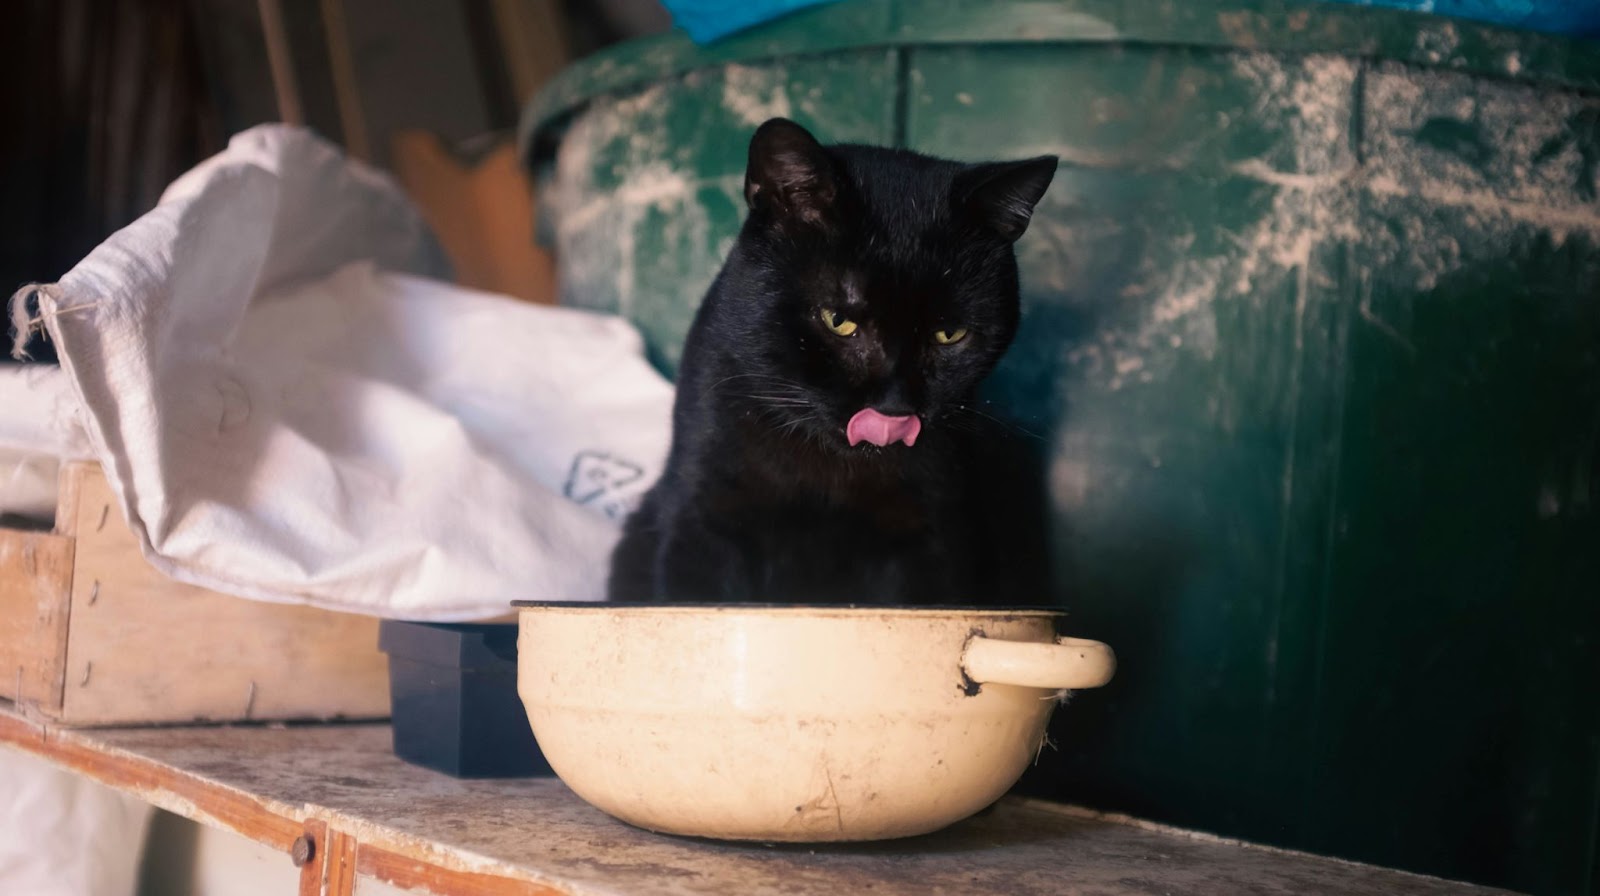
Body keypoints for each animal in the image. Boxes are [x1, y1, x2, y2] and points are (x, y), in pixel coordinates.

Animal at [611, 119, 1062, 604]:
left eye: (950, 335)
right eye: (839, 321)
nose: (893, 407)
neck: (827, 474)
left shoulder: (933, 536)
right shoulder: (702, 513)